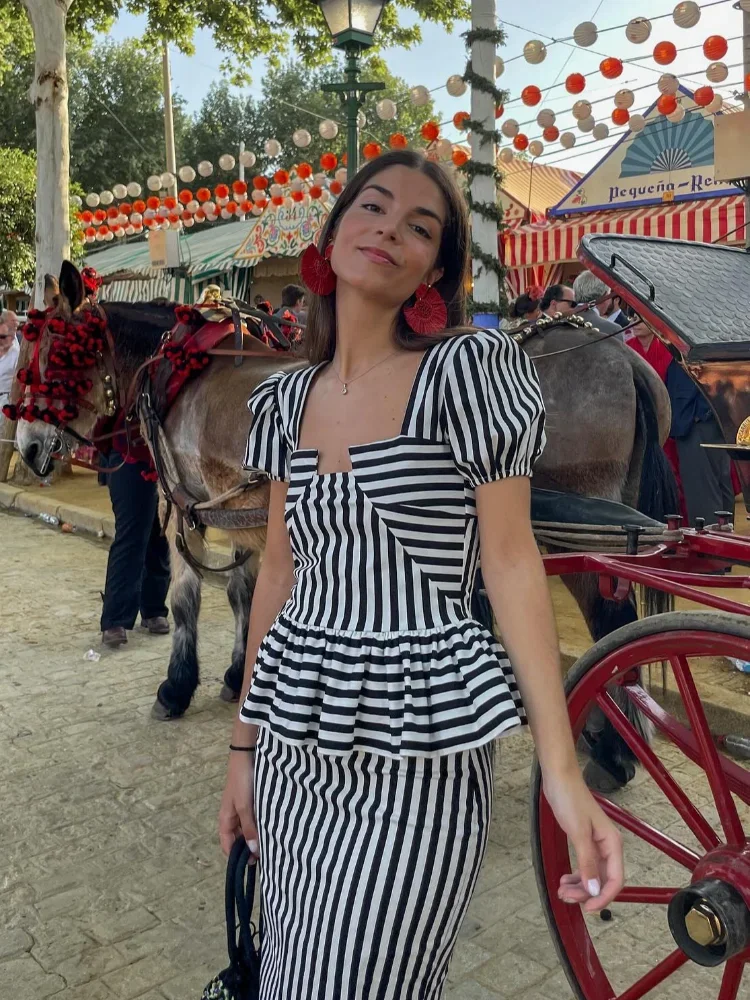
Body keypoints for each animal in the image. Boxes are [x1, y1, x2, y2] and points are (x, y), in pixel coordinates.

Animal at [15, 263, 674, 787]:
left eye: (47, 354)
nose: (26, 446)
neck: (184, 368)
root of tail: (617, 351)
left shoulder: (182, 503)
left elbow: (185, 601)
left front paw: (177, 687)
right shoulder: (246, 510)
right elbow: (244, 595)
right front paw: (236, 675)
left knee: (610, 618)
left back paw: (613, 752)